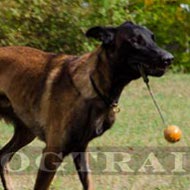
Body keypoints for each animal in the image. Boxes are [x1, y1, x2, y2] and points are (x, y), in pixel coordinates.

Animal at [0, 21, 173, 190]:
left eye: (153, 38)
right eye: (135, 40)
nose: (169, 58)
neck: (94, 85)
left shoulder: (81, 148)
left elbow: (89, 183)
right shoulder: (52, 153)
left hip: (27, 131)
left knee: (3, 156)